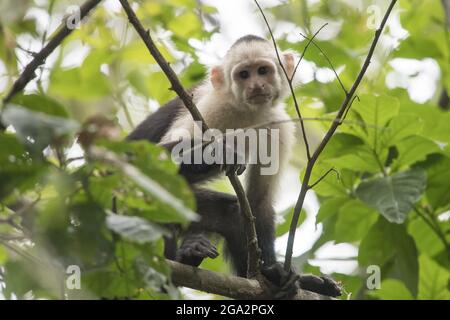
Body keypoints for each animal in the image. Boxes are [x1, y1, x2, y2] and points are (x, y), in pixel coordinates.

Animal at [126, 35, 342, 298]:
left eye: (262, 71)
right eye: (244, 74)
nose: (256, 86)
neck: (247, 114)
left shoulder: (277, 126)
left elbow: (259, 201)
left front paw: (275, 273)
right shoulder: (211, 108)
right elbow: (149, 161)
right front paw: (221, 151)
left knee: (231, 213)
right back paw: (179, 261)